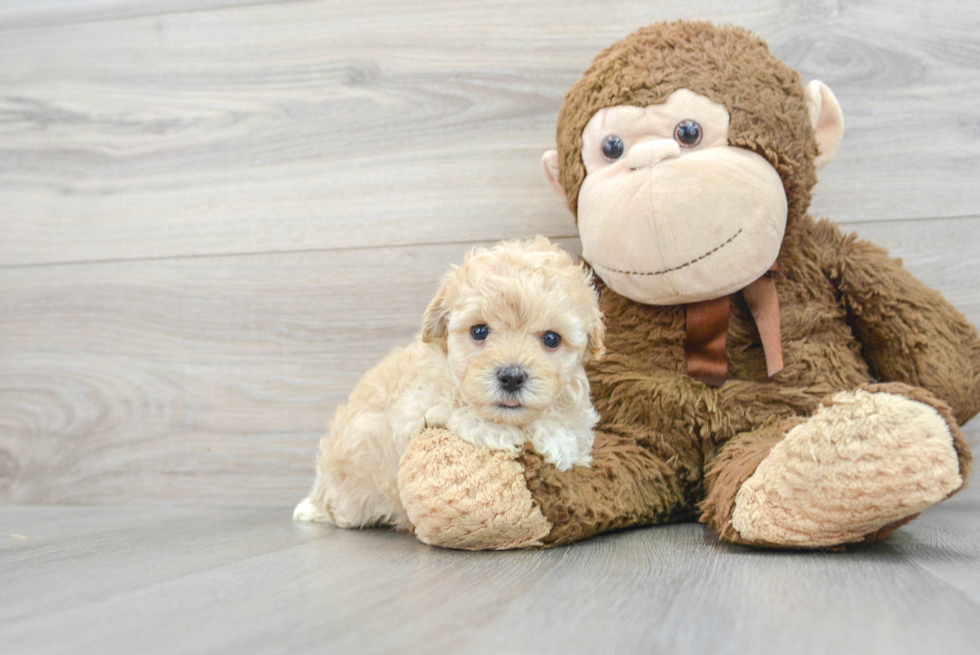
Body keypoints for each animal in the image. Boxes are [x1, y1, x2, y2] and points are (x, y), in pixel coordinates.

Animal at [294, 238, 604, 532]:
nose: (512, 377)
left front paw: (558, 439)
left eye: (552, 339)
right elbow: (456, 409)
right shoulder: (413, 409)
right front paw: (501, 432)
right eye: (479, 331)